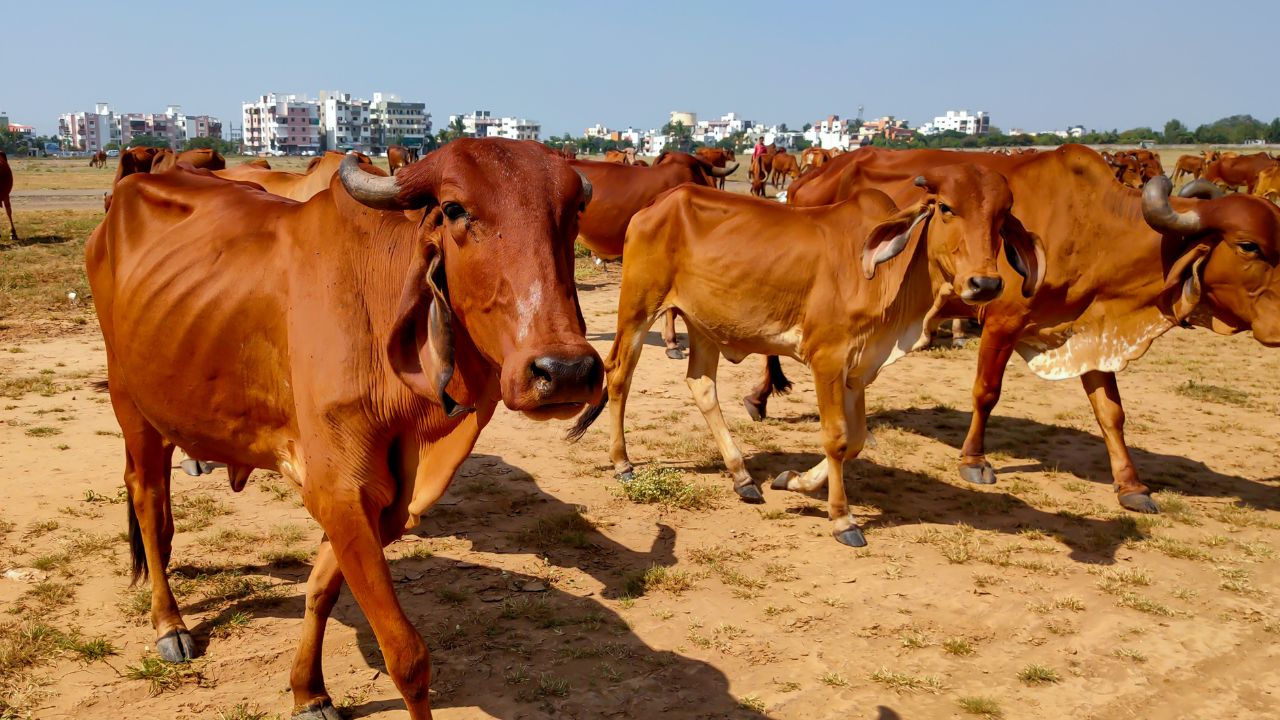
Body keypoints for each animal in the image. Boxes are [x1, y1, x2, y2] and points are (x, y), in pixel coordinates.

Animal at [86, 140, 602, 720]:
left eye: (573, 212)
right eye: (453, 209)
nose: (565, 371)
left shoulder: (382, 498)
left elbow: (320, 589)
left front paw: (308, 690)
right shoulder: (339, 489)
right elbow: (406, 656)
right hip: (131, 404)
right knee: (147, 499)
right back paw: (169, 622)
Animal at [567, 164, 1037, 547]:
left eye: (1001, 218)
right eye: (945, 208)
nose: (985, 283)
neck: (891, 276)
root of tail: (656, 205)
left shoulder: (858, 369)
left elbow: (858, 440)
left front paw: (792, 481)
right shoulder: (827, 358)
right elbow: (837, 438)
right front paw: (842, 519)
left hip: (702, 324)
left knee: (701, 386)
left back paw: (742, 476)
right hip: (638, 307)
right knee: (619, 375)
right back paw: (622, 462)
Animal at [758, 145, 1280, 515]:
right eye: (1248, 245)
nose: (1277, 327)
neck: (1090, 224)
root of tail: (812, 173)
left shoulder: (1086, 328)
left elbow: (1111, 412)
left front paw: (1131, 485)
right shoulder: (1003, 320)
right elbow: (986, 392)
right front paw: (974, 461)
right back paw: (762, 396)